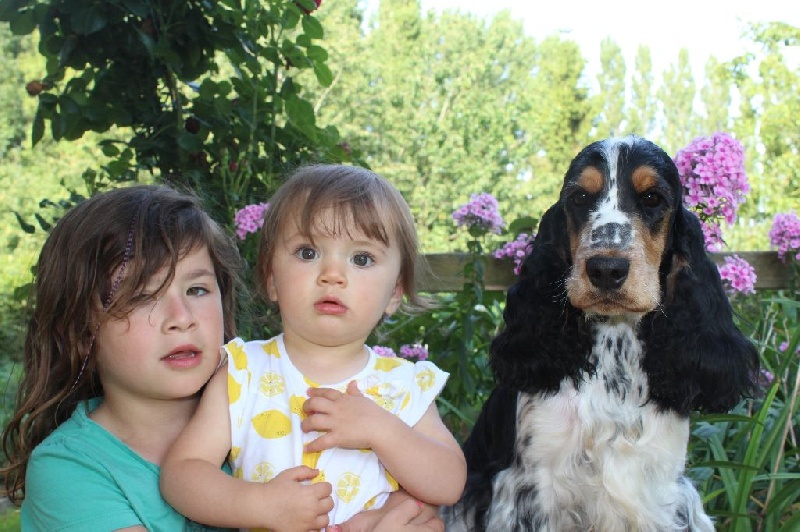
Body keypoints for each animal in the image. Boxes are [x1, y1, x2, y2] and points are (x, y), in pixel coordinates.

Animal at [442, 136, 759, 531]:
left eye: (652, 198)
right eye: (579, 198)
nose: (606, 269)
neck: (614, 348)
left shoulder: (661, 488)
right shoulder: (528, 489)